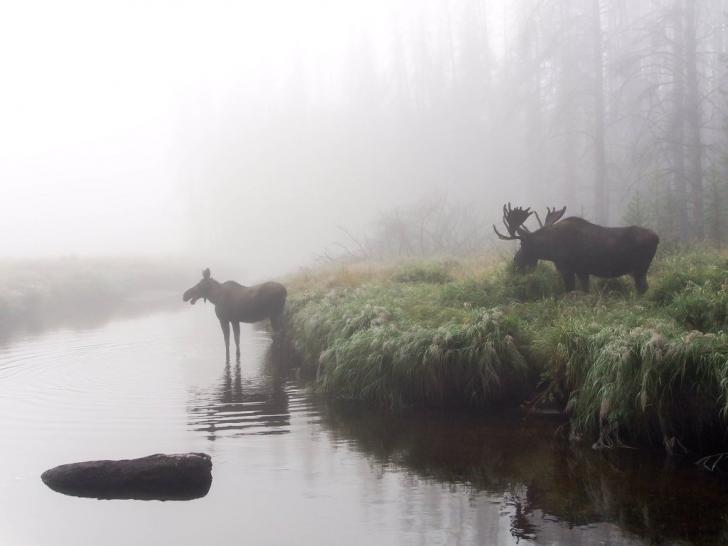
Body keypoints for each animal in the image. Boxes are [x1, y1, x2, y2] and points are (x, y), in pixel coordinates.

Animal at [494, 202, 660, 292]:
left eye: (522, 244)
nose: (515, 260)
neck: (550, 249)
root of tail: (657, 237)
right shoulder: (582, 271)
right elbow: (585, 290)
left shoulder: (566, 268)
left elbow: (570, 290)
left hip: (640, 268)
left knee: (643, 288)